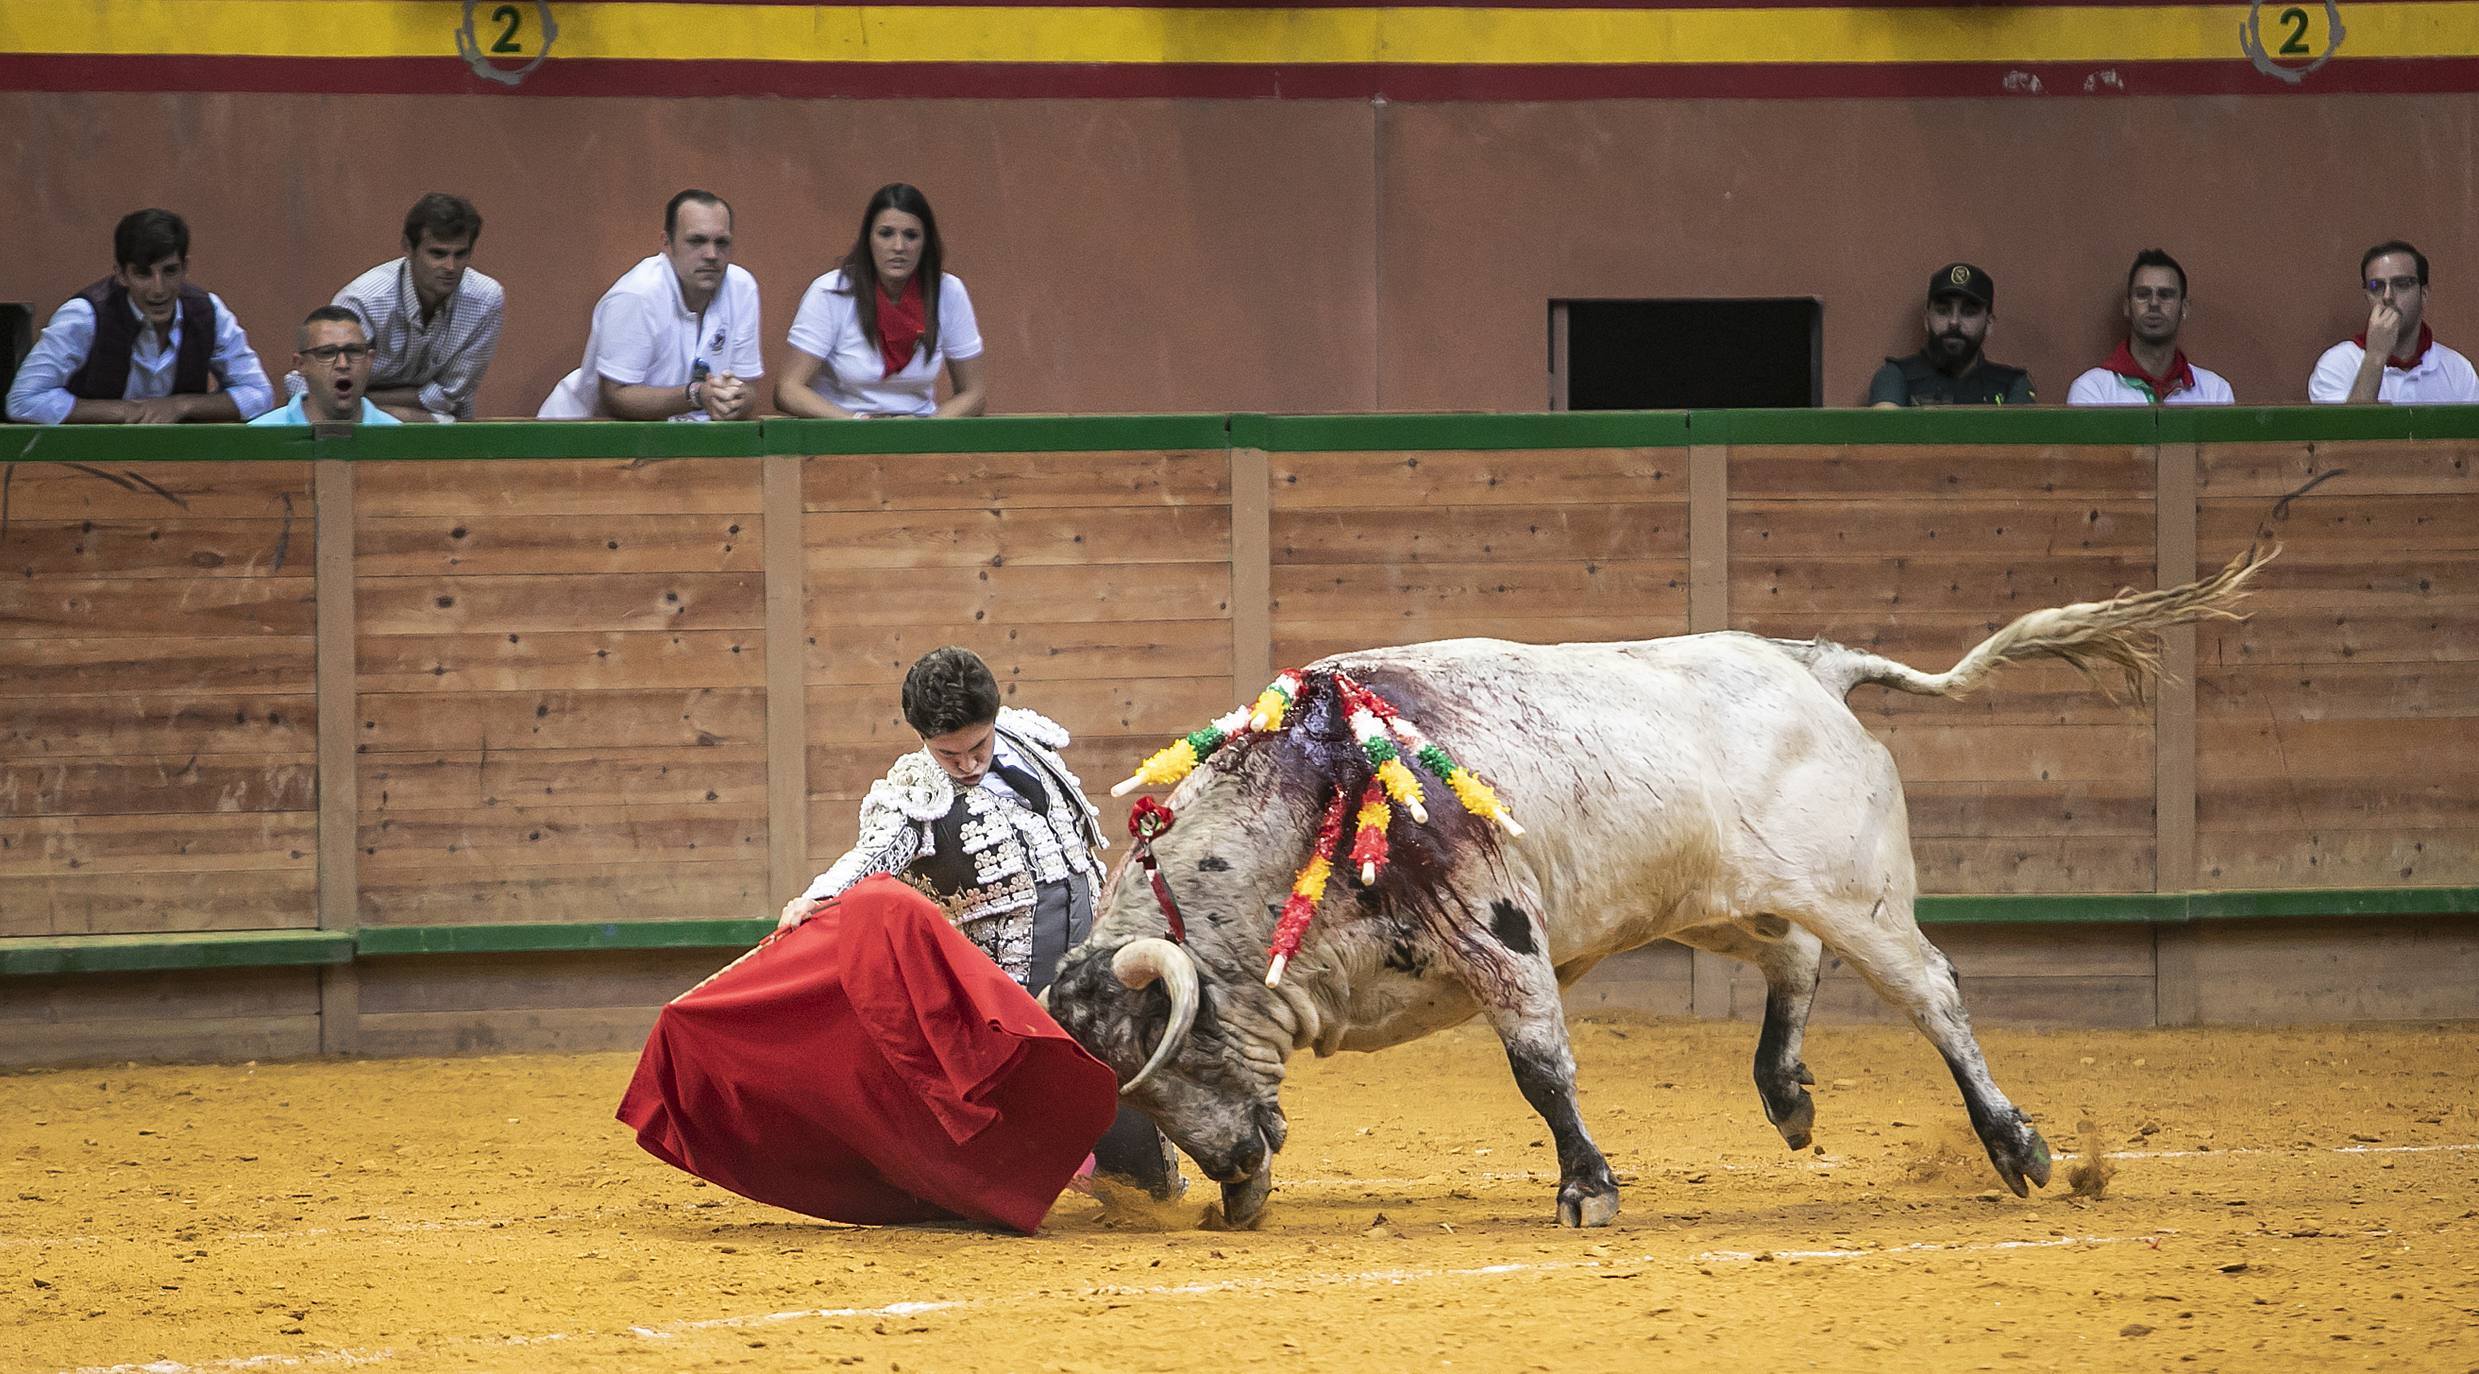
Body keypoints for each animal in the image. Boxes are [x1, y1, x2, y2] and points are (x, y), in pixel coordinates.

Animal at [1046, 550, 2270, 1225]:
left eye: (1169, 1055)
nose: (1233, 1167)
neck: (1303, 799)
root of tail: (1810, 662)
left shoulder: (1495, 931)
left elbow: (1540, 1068)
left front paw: (1586, 1188)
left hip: (1856, 893)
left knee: (1930, 993)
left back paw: (2014, 1145)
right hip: (1717, 902)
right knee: (1791, 959)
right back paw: (1784, 1093)